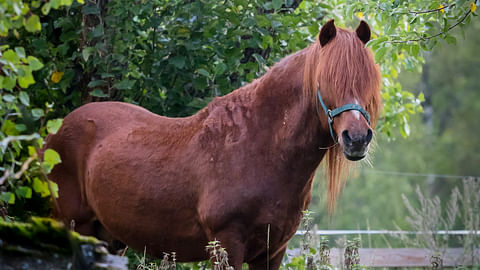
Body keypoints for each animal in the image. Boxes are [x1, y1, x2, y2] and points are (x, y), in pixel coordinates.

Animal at [46, 20, 382, 268]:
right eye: (326, 80)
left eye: (367, 81)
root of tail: (55, 131)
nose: (356, 138)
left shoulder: (272, 252)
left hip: (109, 239)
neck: (260, 148)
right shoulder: (226, 245)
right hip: (75, 227)